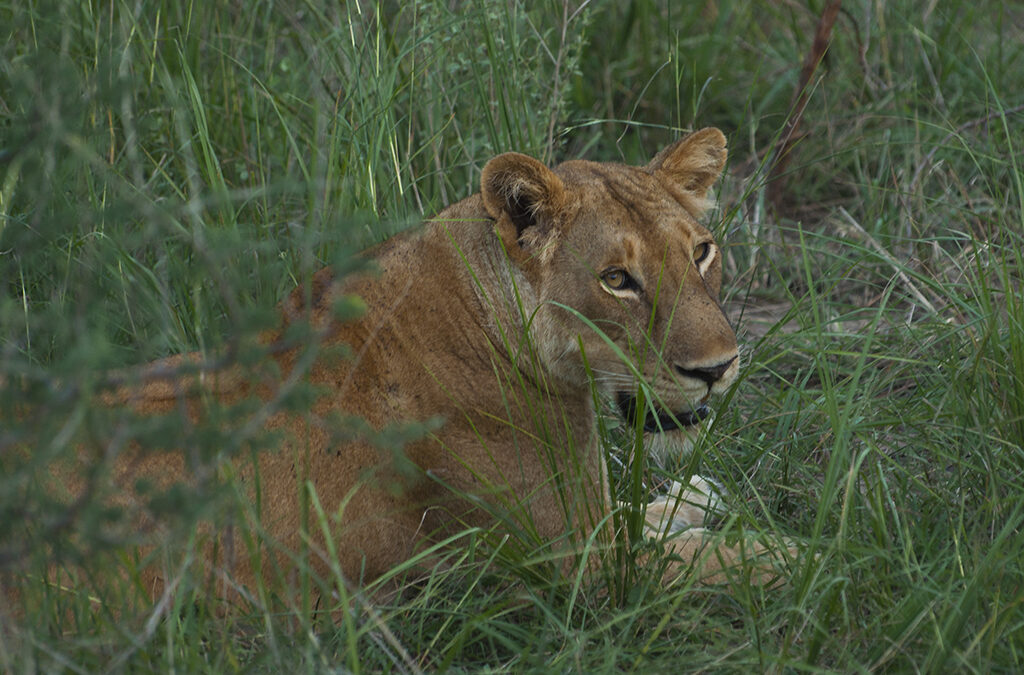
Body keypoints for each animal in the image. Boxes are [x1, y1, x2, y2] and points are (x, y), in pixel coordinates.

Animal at [10, 128, 785, 613]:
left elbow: (645, 514)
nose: (719, 367)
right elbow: (718, 561)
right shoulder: (576, 569)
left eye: (702, 252)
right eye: (617, 280)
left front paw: (693, 492)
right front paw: (785, 554)